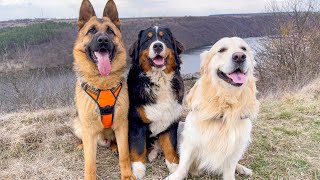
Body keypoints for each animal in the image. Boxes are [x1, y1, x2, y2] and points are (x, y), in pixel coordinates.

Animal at [72, 0, 134, 180]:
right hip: (78, 124)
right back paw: (81, 145)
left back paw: (113, 146)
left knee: (116, 144)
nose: (103, 40)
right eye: (91, 30)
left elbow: (125, 154)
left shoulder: (122, 124)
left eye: (110, 31)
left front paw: (127, 175)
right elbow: (90, 162)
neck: (103, 83)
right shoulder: (88, 128)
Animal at [127, 26, 185, 179]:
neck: (159, 80)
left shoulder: (171, 119)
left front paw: (174, 165)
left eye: (164, 38)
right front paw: (138, 169)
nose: (158, 45)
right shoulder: (136, 122)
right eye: (147, 40)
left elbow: (170, 144)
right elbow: (138, 147)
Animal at [165, 37, 260, 180]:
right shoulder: (191, 138)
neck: (226, 103)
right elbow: (183, 165)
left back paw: (243, 169)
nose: (239, 56)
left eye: (244, 49)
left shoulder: (235, 144)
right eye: (222, 49)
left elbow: (230, 169)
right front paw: (175, 176)